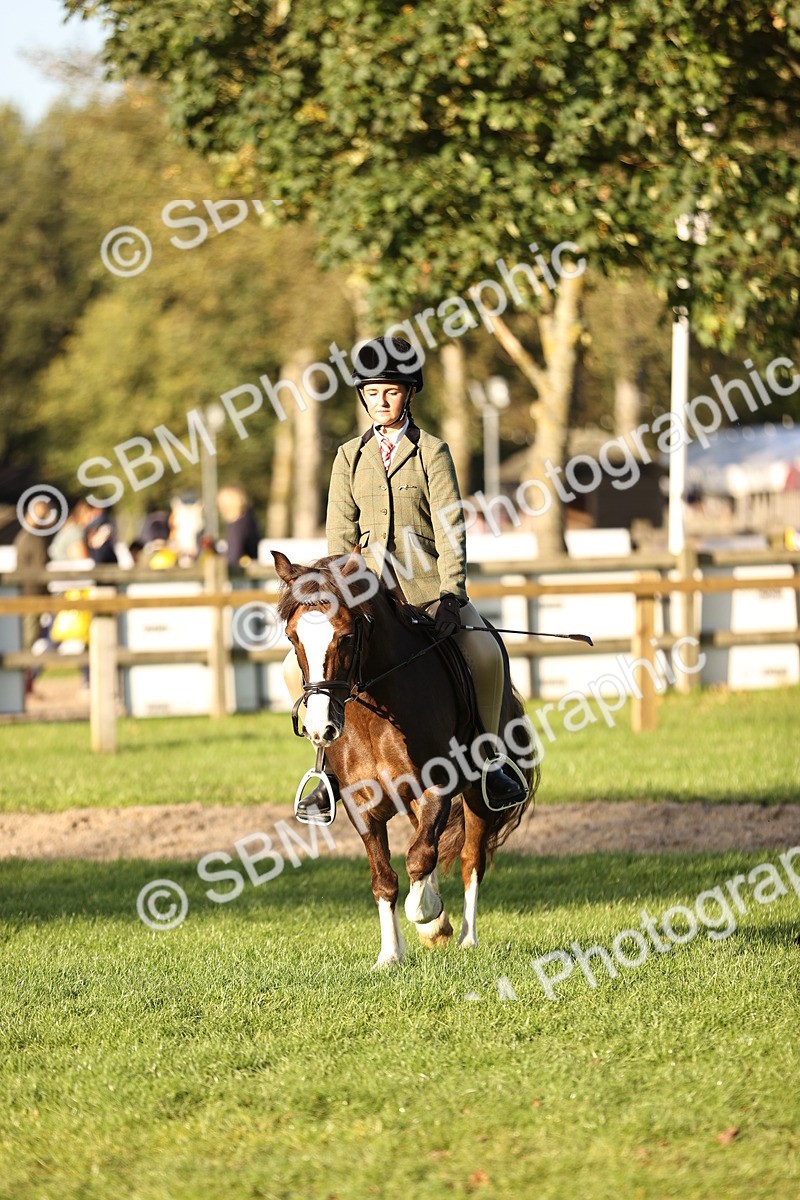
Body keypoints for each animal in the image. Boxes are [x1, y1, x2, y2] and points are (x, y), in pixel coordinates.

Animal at [273, 549, 540, 969]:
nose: (320, 728)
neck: (375, 712)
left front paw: (425, 913)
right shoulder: (361, 805)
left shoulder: (437, 788)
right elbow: (385, 878)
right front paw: (390, 954)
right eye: (292, 637)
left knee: (470, 860)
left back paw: (465, 938)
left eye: (346, 636)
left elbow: (420, 858)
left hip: (478, 795)